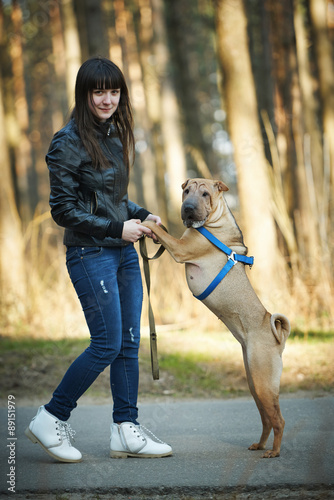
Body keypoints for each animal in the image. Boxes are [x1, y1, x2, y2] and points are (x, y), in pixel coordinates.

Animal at [142, 178, 290, 458]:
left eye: (205, 194)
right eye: (186, 191)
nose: (188, 208)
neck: (213, 222)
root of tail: (278, 338)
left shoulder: (180, 248)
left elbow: (160, 231)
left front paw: (143, 222)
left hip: (263, 383)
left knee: (279, 419)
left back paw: (274, 451)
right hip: (255, 383)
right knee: (267, 418)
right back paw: (260, 445)